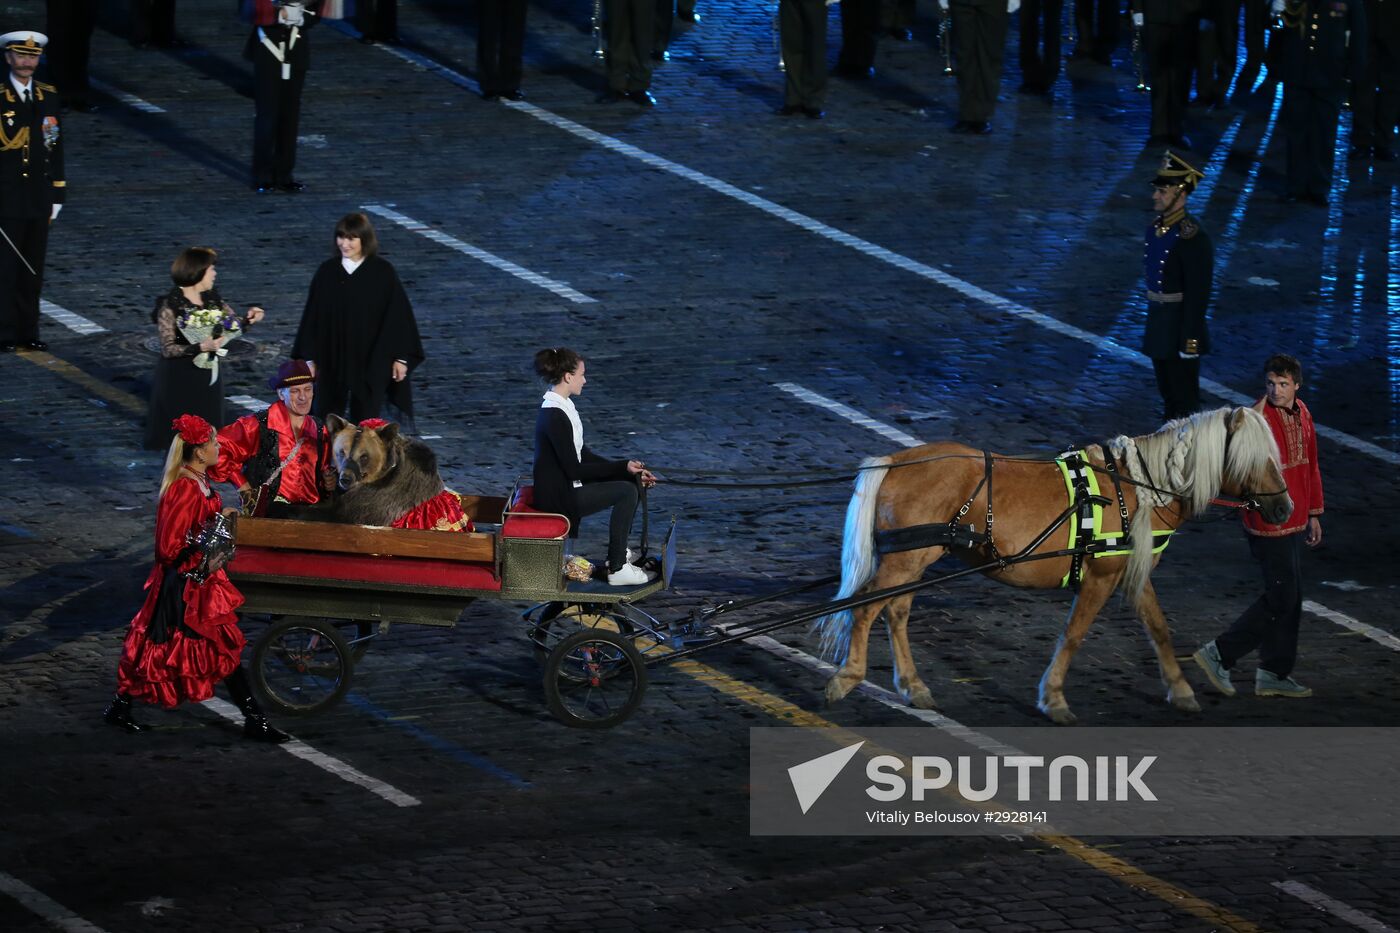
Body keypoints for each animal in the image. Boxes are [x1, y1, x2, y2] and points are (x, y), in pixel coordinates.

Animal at [817, 406, 1288, 717]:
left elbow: (1158, 629)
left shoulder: (1129, 574)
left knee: (894, 612)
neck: (1137, 488)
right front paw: (1054, 696)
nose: (1285, 509)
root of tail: (897, 460)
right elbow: (1074, 634)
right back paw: (847, 677)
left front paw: (1181, 689)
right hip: (906, 561)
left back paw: (913, 686)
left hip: (913, 561)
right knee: (865, 608)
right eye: (1254, 458)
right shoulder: (1100, 577)